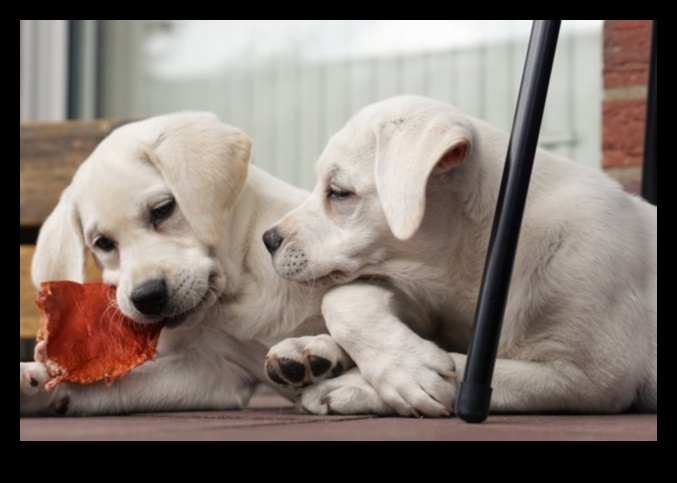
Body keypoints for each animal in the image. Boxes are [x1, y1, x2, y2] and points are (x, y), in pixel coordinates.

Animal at [19, 112, 344, 416]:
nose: (147, 297)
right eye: (103, 243)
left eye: (163, 209)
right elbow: (120, 382)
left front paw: (319, 350)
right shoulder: (212, 370)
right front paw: (39, 382)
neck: (242, 288)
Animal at [262, 93, 656, 416]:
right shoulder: (426, 300)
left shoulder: (587, 376)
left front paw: (373, 381)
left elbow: (468, 368)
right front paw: (323, 350)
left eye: (339, 192)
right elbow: (342, 297)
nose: (268, 239)